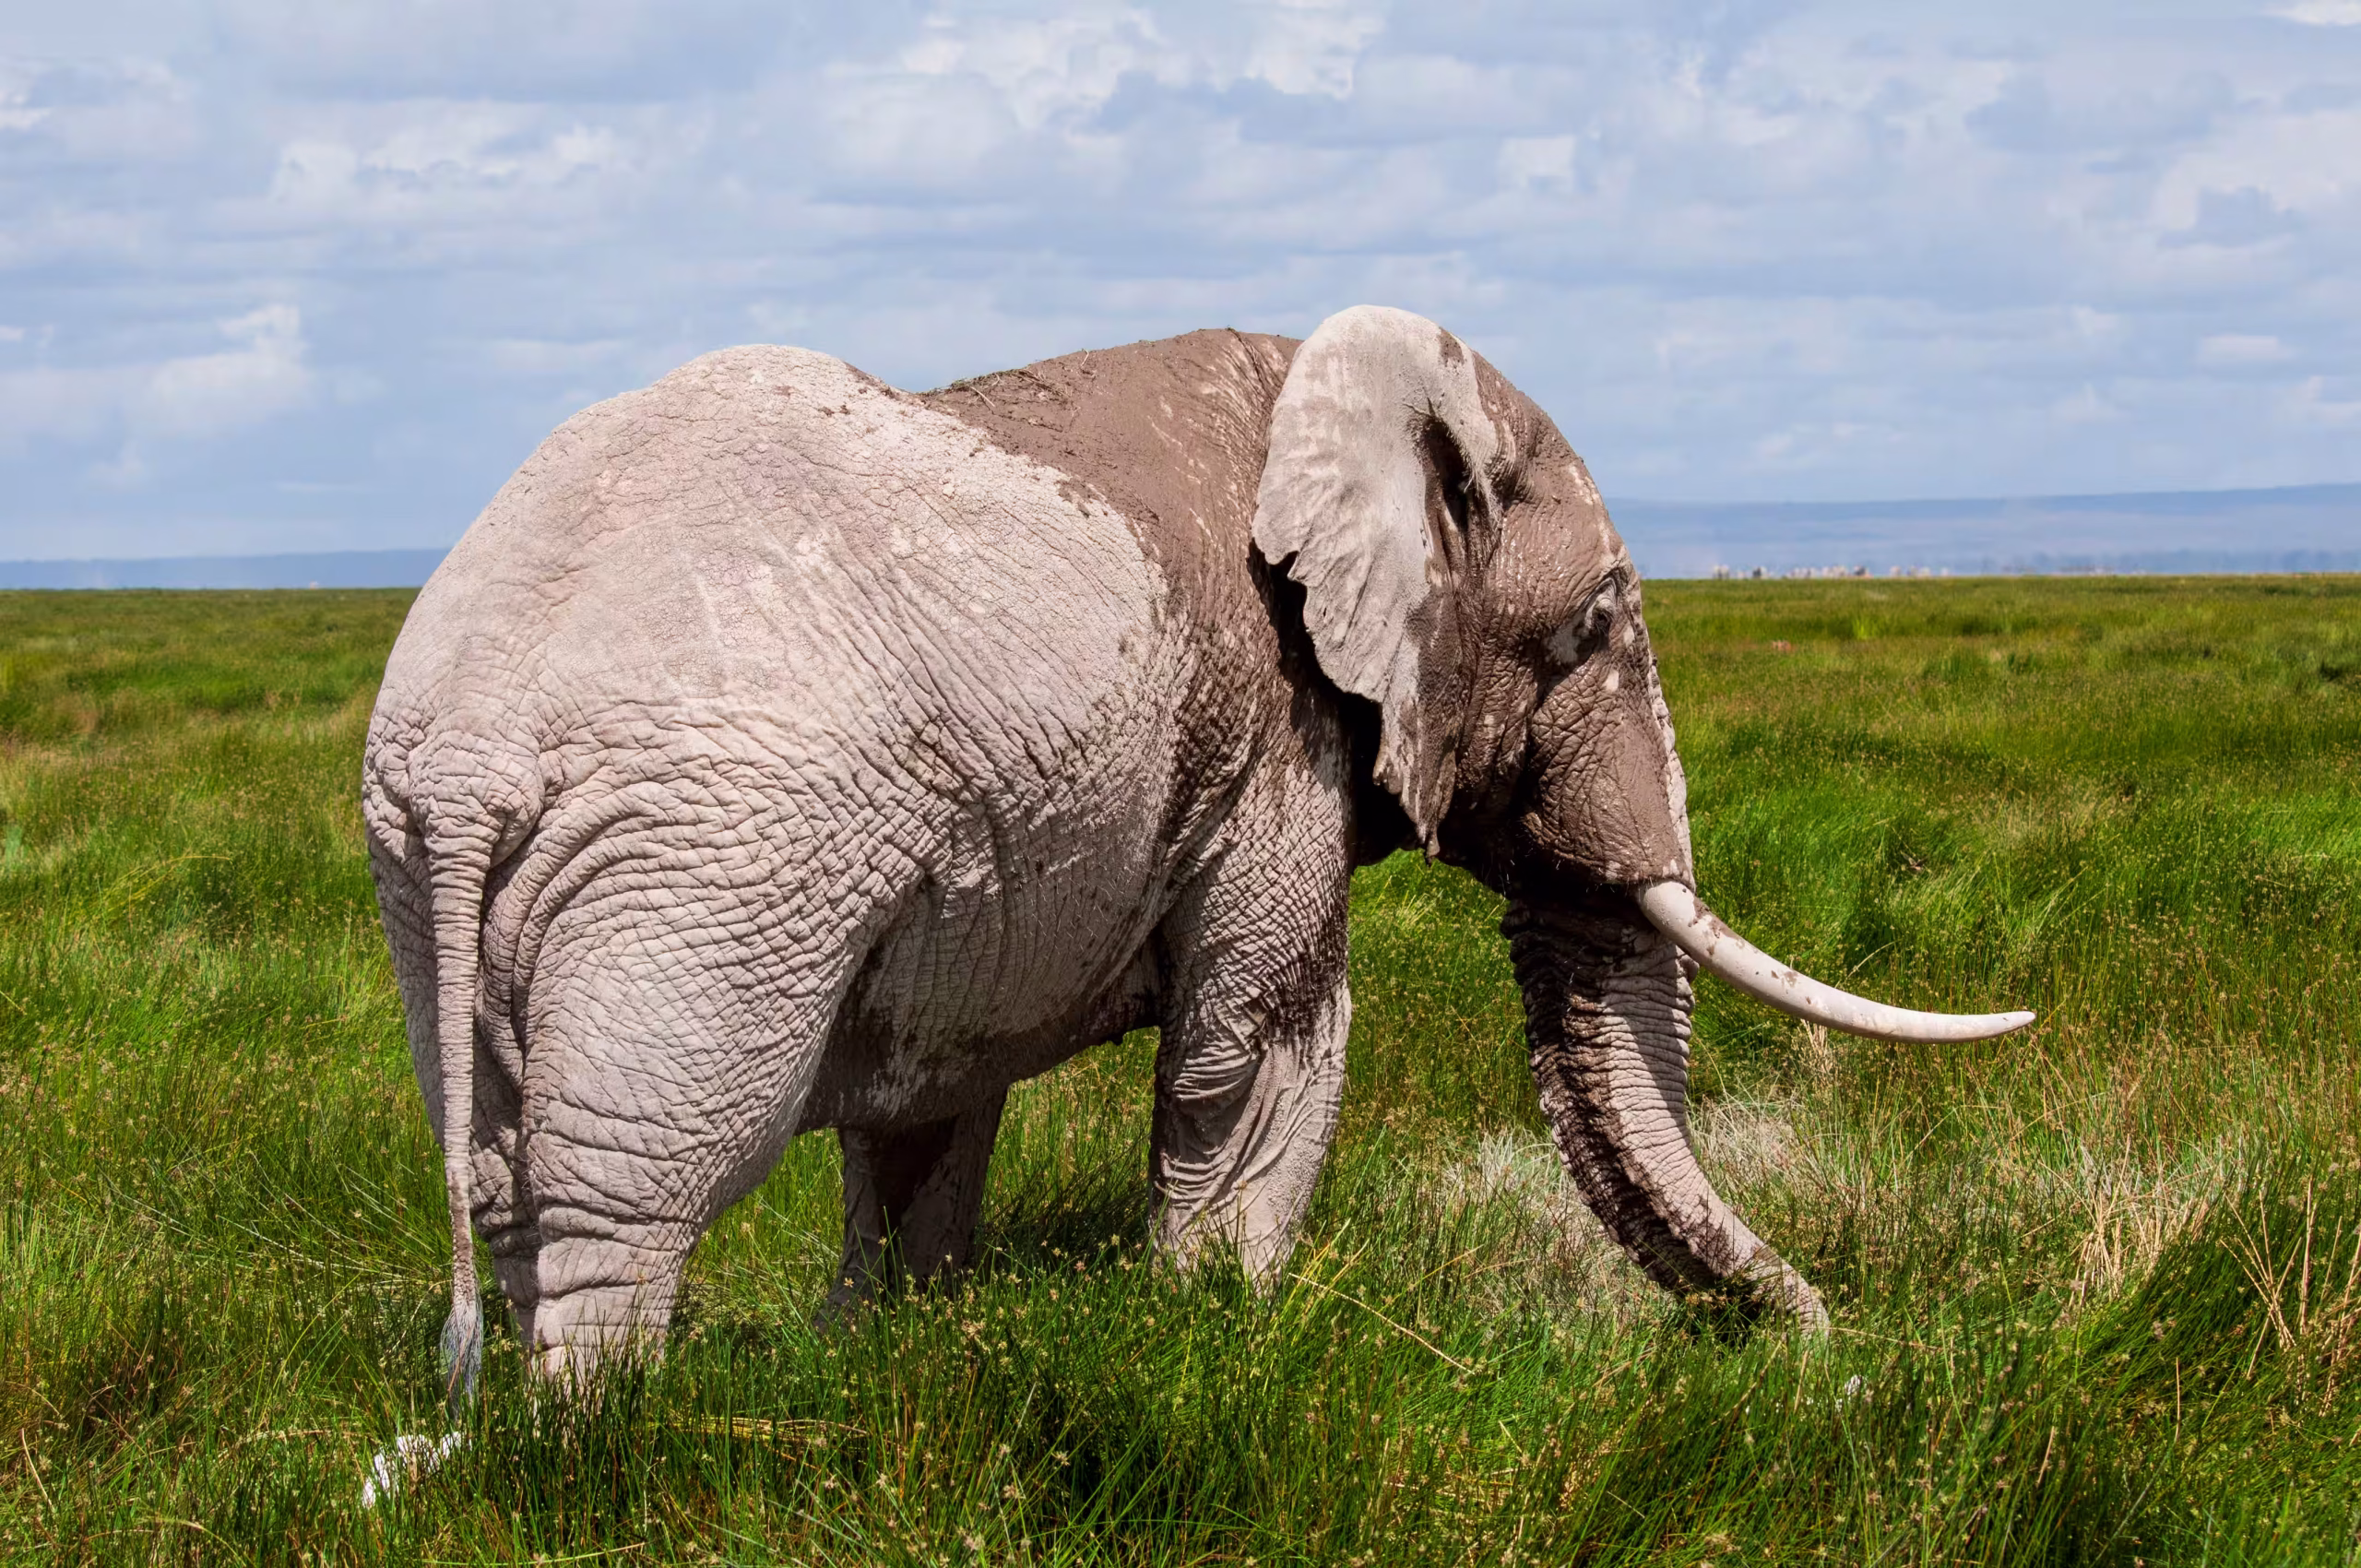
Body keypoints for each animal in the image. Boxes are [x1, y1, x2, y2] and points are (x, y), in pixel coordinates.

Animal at [364, 304, 2031, 1402]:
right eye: (1596, 626)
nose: (1821, 1350)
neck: (1323, 386)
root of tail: (476, 744)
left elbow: (925, 1100)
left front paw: (891, 1360)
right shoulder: (1280, 733)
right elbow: (1272, 1036)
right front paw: (1216, 1329)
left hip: (446, 865)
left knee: (504, 1177)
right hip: (706, 865)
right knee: (626, 1194)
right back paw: (605, 1445)